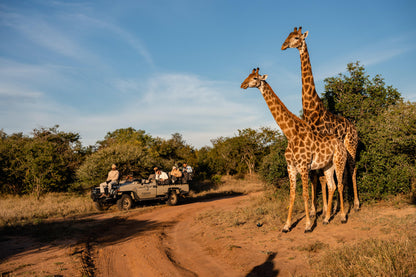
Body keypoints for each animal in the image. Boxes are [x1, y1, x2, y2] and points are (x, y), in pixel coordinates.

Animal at [240, 68, 348, 232]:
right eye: (247, 76)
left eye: (255, 78)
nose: (243, 85)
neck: (290, 134)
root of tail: (342, 144)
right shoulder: (290, 167)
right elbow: (292, 195)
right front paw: (286, 225)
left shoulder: (304, 166)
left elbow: (305, 194)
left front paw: (308, 225)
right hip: (327, 165)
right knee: (332, 186)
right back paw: (326, 219)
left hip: (339, 161)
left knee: (340, 185)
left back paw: (342, 217)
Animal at [282, 26, 360, 211]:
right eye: (288, 36)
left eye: (296, 37)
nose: (284, 45)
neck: (312, 110)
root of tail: (354, 128)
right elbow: (315, 177)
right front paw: (314, 209)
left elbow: (323, 178)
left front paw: (325, 209)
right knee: (343, 173)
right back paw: (341, 203)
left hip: (351, 145)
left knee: (352, 169)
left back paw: (356, 204)